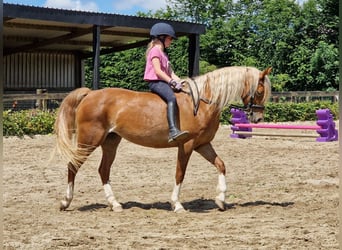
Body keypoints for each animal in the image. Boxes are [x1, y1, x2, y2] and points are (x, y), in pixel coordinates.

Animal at [54, 65, 272, 212]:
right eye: (260, 91)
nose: (258, 118)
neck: (202, 103)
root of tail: (89, 94)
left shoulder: (203, 144)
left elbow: (221, 165)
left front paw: (220, 199)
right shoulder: (187, 145)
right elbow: (180, 174)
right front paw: (177, 204)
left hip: (111, 141)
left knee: (103, 170)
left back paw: (115, 204)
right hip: (89, 140)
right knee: (73, 165)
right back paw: (65, 201)